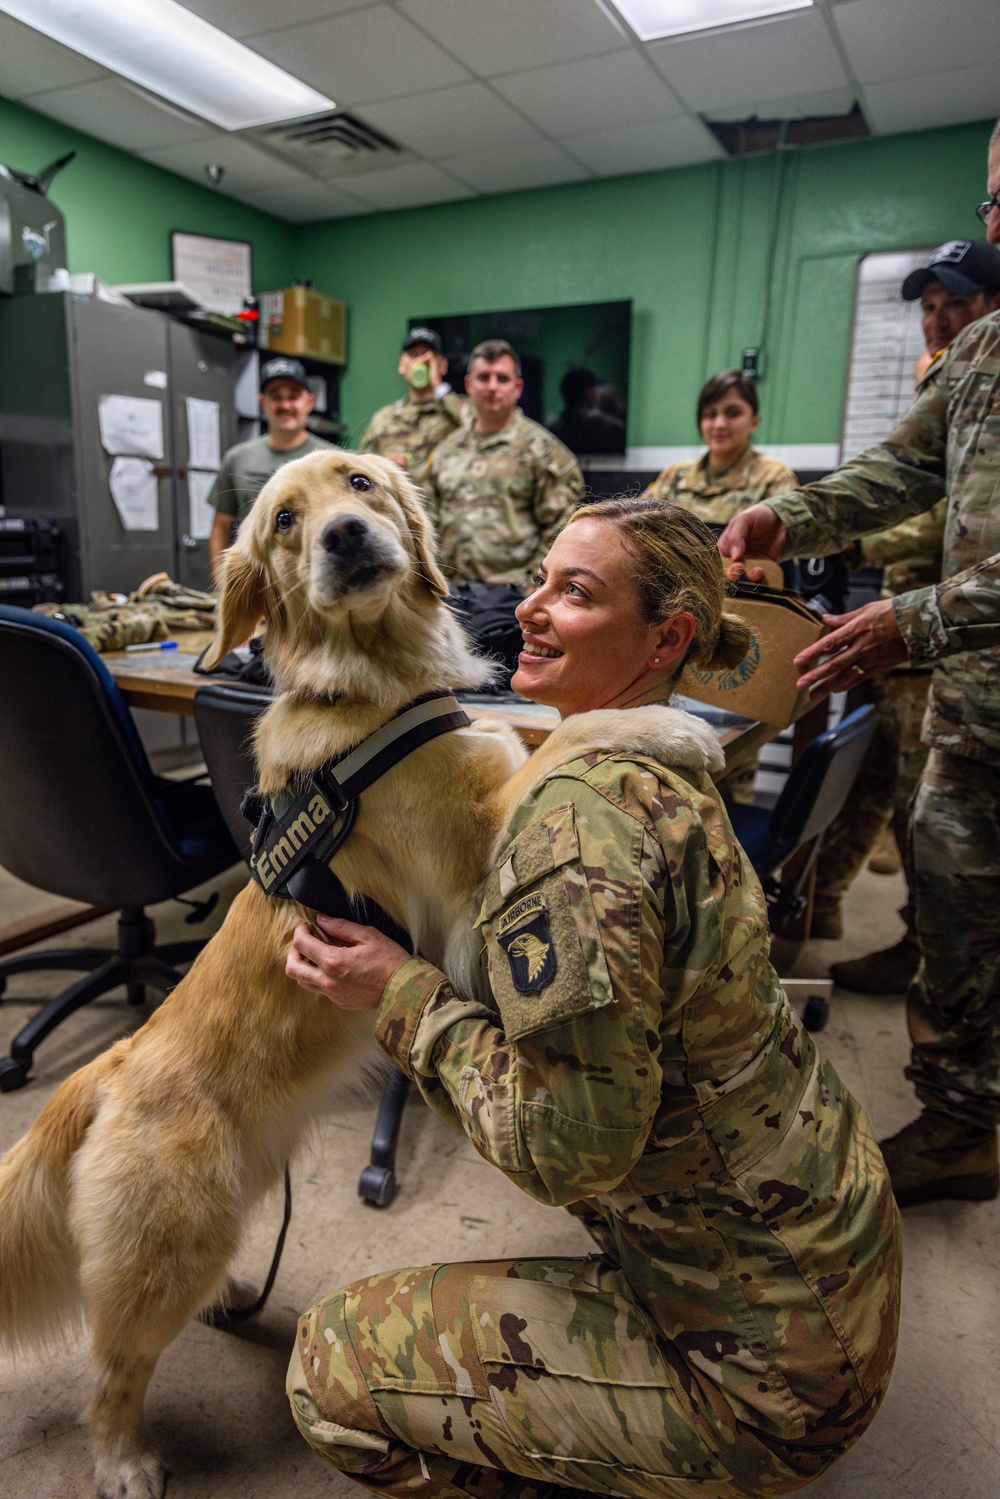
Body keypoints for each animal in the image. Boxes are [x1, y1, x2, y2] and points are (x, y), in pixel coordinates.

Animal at [0, 449, 722, 1493]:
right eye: (285, 520)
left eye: (360, 484)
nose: (343, 535)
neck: (380, 683)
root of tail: (110, 1067)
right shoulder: (469, 873)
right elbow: (561, 742)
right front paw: (670, 726)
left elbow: (539, 735)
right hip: (166, 1250)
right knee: (113, 1364)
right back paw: (124, 1457)